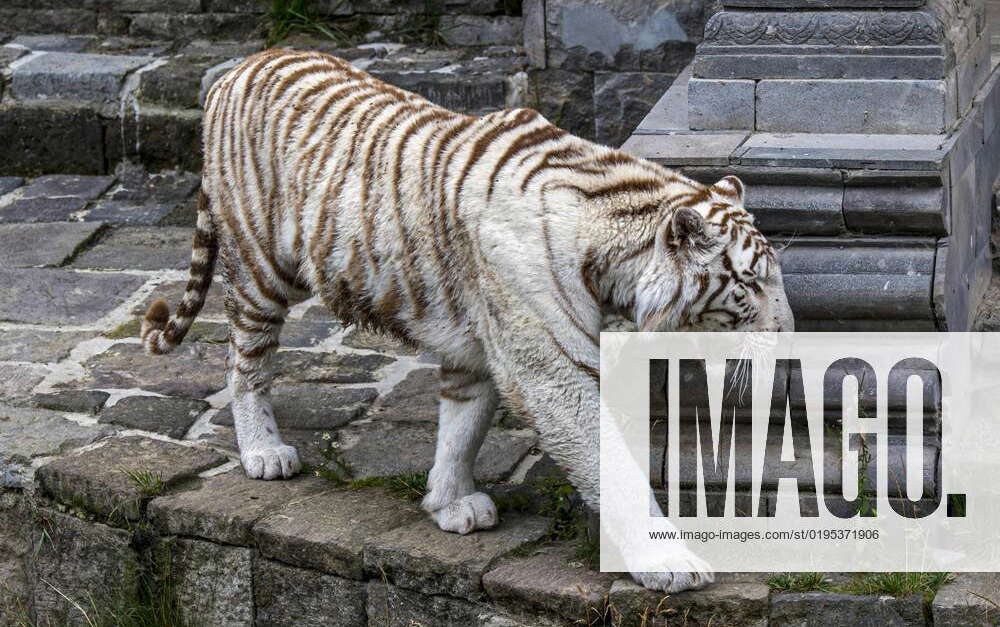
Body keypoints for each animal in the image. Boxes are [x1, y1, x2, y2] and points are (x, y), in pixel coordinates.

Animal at [141, 48, 794, 593]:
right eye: (750, 284)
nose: (791, 335)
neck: (612, 256)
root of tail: (238, 66)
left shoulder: (479, 344)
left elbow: (463, 424)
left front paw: (448, 503)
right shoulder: (550, 367)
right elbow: (606, 460)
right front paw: (669, 564)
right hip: (261, 270)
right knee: (244, 360)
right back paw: (264, 451)